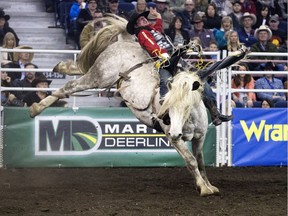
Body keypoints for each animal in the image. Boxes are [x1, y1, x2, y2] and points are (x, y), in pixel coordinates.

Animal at [28, 13, 245, 196]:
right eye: (167, 106)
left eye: (186, 107)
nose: (175, 131)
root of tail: (123, 42)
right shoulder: (174, 139)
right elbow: (191, 161)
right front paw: (203, 188)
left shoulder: (200, 137)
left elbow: (200, 162)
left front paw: (209, 185)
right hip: (100, 76)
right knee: (70, 86)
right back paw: (36, 108)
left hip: (98, 75)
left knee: (80, 68)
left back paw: (61, 67)